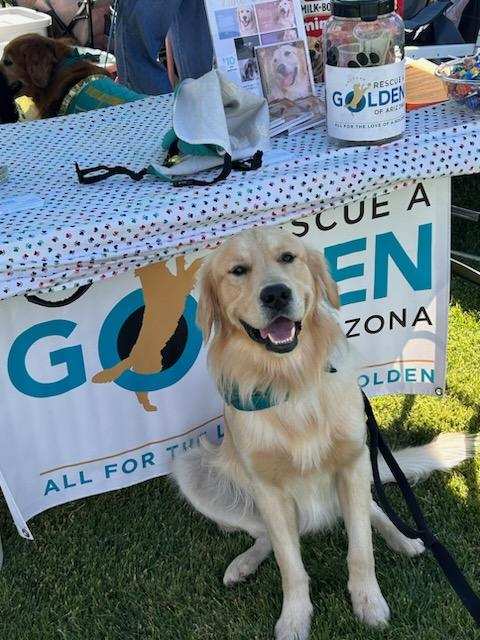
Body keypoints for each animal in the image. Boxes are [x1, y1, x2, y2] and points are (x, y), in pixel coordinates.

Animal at [172, 228, 478, 640]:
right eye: (237, 270)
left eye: (288, 257)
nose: (276, 294)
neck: (291, 378)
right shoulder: (268, 489)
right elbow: (290, 565)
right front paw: (294, 619)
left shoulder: (352, 462)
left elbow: (361, 550)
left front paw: (368, 602)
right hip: (193, 468)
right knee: (264, 535)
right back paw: (244, 563)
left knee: (375, 509)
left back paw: (405, 539)